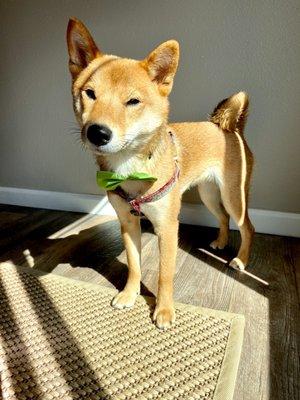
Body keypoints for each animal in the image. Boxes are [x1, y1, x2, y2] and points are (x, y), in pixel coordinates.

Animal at [67, 18, 254, 328]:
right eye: (90, 94)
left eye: (133, 101)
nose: (97, 133)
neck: (131, 168)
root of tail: (229, 128)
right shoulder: (128, 223)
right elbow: (134, 266)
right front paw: (129, 295)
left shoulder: (167, 227)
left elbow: (165, 275)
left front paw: (164, 310)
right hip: (209, 195)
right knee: (223, 219)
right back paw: (220, 241)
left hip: (232, 196)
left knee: (247, 227)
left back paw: (241, 260)